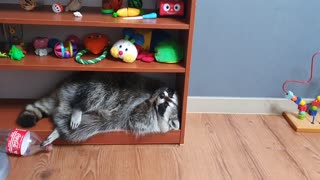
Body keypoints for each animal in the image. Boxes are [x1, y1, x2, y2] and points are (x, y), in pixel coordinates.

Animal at [17, 71, 180, 146]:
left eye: (166, 104)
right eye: (166, 96)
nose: (162, 93)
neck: (155, 110)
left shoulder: (145, 120)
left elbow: (135, 115)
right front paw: (152, 95)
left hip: (103, 118)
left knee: (89, 123)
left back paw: (59, 130)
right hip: (91, 85)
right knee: (98, 92)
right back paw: (79, 107)